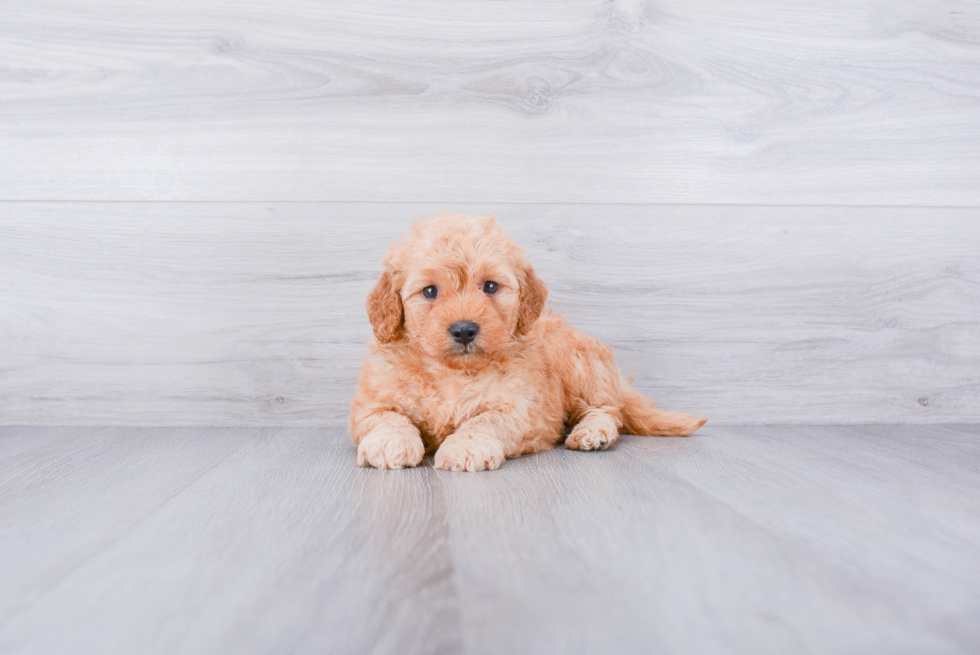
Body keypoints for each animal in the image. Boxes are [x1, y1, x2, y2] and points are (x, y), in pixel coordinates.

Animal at [352, 214, 704, 472]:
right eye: (429, 291)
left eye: (490, 286)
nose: (464, 330)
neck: (453, 372)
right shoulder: (371, 402)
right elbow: (387, 416)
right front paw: (390, 443)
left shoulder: (517, 408)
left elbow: (486, 420)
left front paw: (465, 447)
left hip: (580, 365)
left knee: (607, 409)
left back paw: (592, 432)